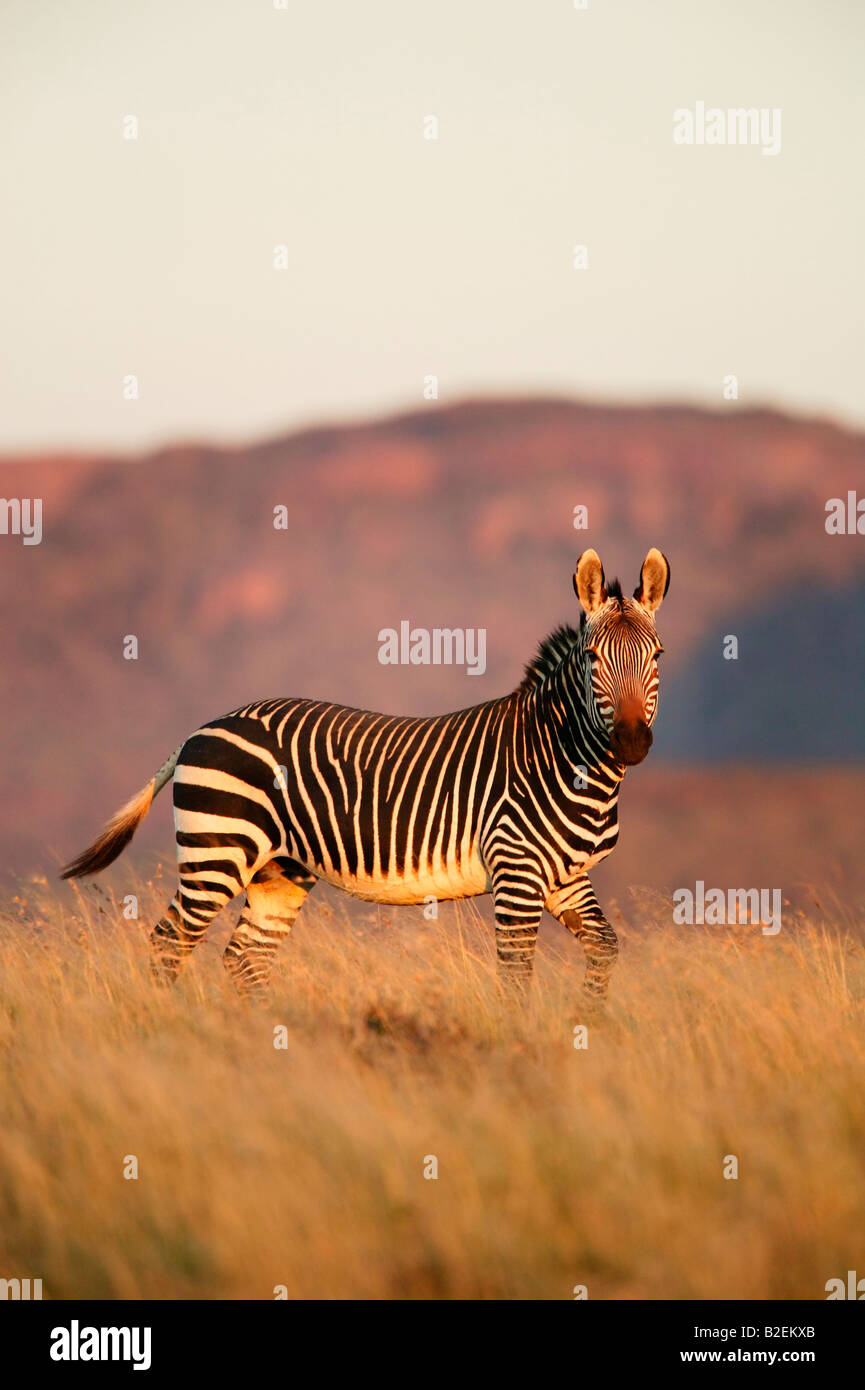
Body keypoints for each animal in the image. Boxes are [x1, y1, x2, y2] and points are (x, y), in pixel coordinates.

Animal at [62, 547, 670, 1017]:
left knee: (245, 957)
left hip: (279, 871)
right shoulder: (517, 872)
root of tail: (201, 728)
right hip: (218, 852)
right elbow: (516, 977)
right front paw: (522, 1047)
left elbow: (606, 948)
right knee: (170, 944)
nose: (633, 743)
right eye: (592, 657)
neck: (566, 756)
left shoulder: (567, 878)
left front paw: (587, 1026)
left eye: (657, 655)